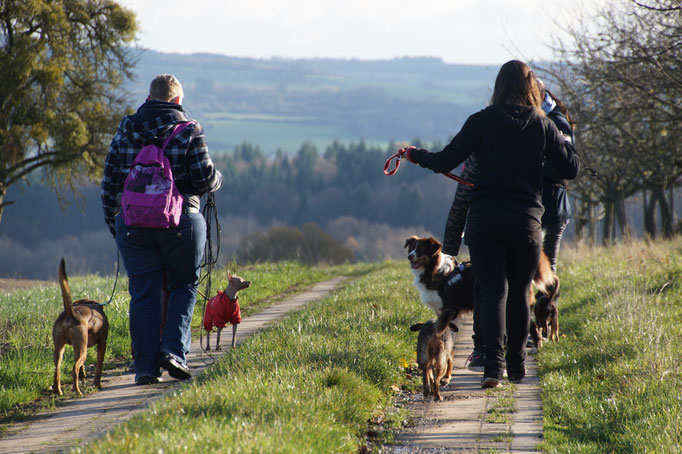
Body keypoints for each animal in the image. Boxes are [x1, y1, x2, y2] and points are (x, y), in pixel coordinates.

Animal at [51, 258, 108, 394]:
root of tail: (70, 313)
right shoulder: (102, 343)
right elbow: (99, 366)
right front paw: (97, 384)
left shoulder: (77, 347)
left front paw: (84, 374)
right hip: (82, 350)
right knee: (74, 368)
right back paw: (77, 390)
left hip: (59, 349)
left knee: (57, 371)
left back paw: (58, 391)